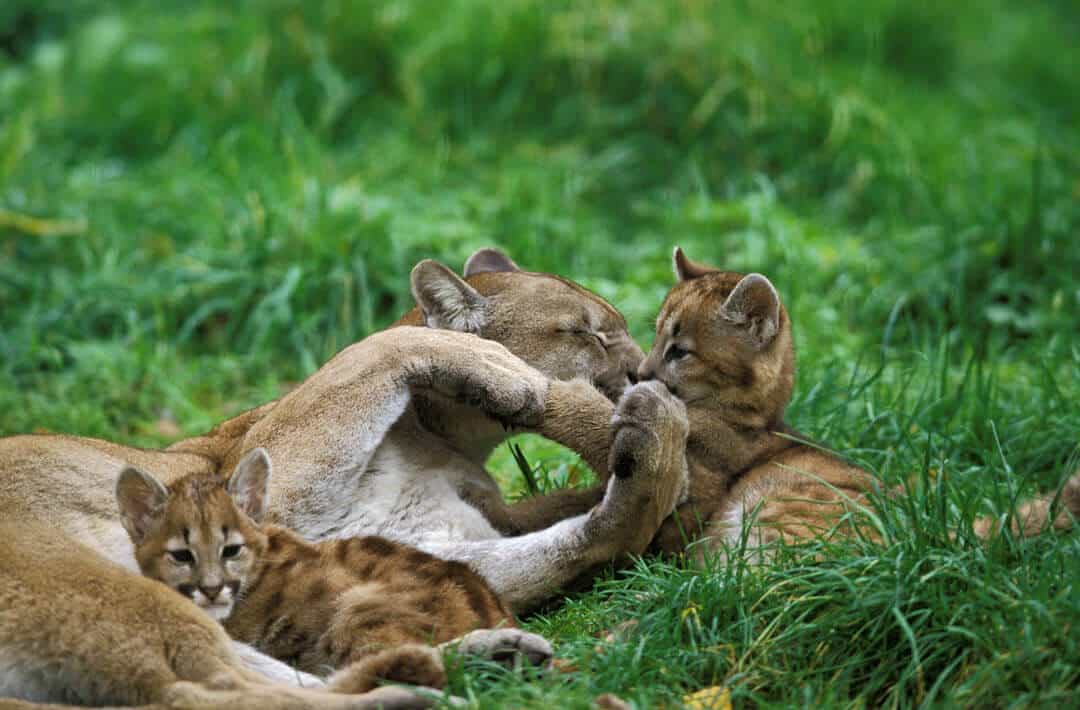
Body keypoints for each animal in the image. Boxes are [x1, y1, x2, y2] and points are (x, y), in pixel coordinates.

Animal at [0, 249, 686, 704]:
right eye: (588, 333)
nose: (642, 372)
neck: (442, 435)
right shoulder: (279, 495)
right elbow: (371, 347)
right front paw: (509, 373)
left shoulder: (419, 536)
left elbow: (562, 540)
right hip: (110, 588)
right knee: (210, 692)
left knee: (276, 681)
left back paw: (477, 661)